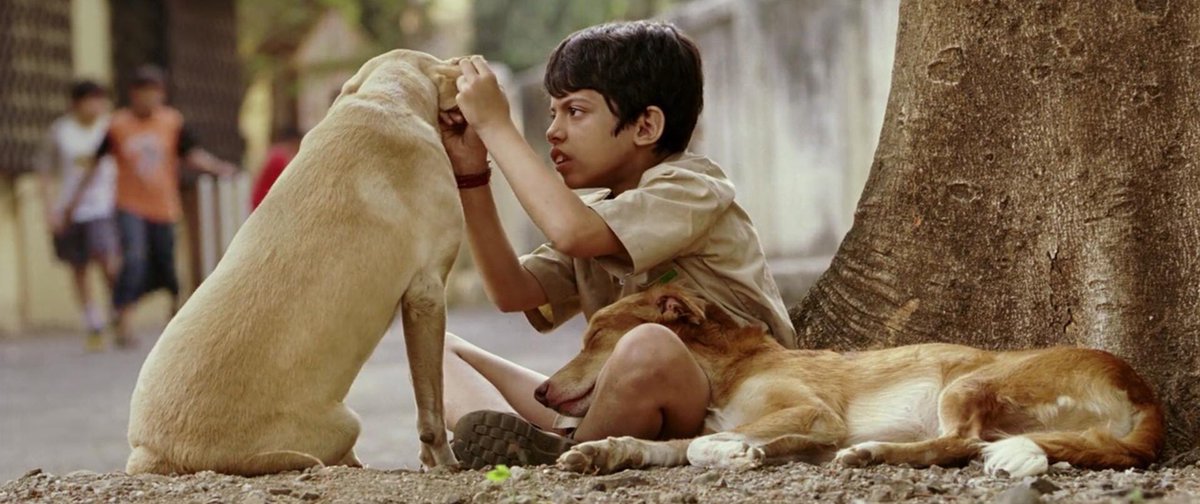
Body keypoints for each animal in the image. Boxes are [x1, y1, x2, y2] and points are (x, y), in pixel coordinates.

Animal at [126, 50, 463, 477]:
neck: (384, 98)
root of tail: (154, 453)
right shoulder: (426, 293)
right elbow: (430, 404)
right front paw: (444, 461)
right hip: (344, 423)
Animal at [549, 285, 1161, 477]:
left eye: (595, 334)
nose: (538, 391)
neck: (731, 369)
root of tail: (1142, 390)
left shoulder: (815, 412)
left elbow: (704, 444)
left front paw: (738, 454)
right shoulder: (797, 422)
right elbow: (672, 444)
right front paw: (603, 450)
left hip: (965, 383)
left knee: (959, 442)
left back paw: (873, 453)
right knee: (968, 444)